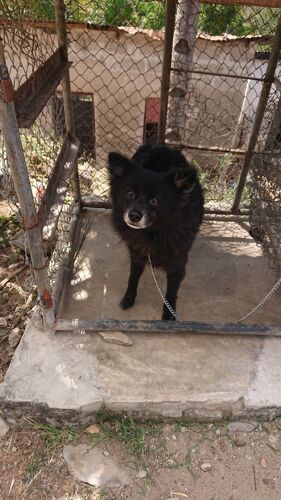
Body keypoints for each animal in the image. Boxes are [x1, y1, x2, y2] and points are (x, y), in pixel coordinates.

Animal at [107, 144, 203, 320]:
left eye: (155, 201)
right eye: (129, 194)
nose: (134, 215)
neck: (153, 233)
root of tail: (161, 146)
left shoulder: (177, 263)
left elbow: (171, 292)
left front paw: (169, 313)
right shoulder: (137, 254)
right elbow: (133, 277)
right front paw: (129, 297)